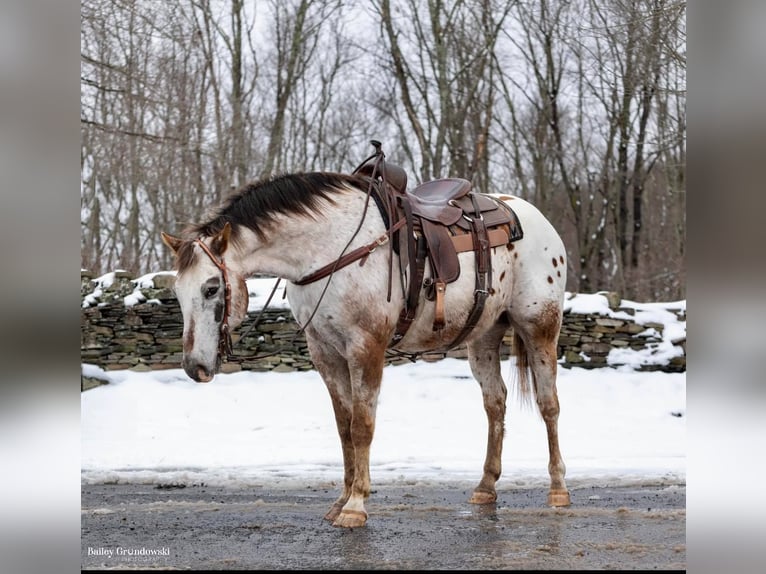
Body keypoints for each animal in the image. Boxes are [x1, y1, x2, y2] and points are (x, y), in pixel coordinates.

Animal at [162, 164, 568, 528]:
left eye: (211, 288)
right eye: (177, 292)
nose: (194, 367)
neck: (329, 248)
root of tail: (536, 219)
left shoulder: (366, 347)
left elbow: (363, 426)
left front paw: (356, 505)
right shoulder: (325, 353)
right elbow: (344, 426)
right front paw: (341, 500)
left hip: (540, 328)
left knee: (549, 405)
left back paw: (558, 489)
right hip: (483, 337)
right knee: (495, 404)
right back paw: (486, 486)